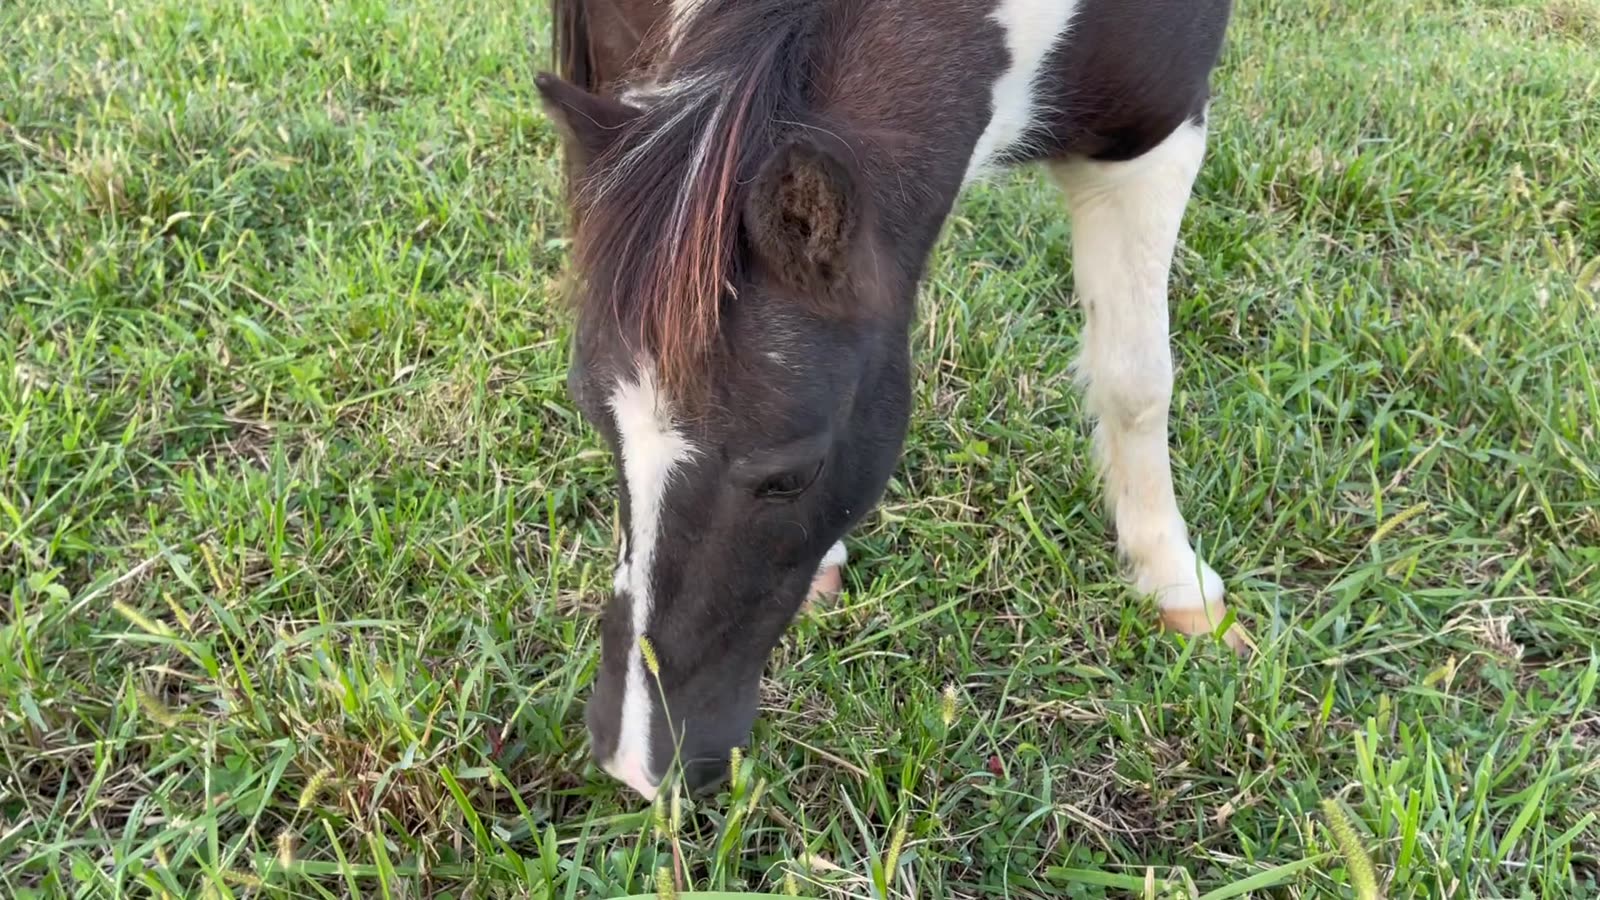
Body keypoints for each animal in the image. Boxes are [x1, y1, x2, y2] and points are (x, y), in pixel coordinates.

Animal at [537, 0, 1241, 801]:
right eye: (600, 426)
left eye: (792, 475)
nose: (636, 762)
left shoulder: (1158, 134)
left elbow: (1136, 381)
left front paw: (1174, 580)